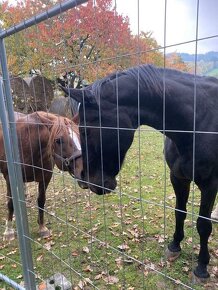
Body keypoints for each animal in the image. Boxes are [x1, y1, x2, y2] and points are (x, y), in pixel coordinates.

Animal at [0, 111, 82, 240]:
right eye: (58, 140)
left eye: (79, 135)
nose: (84, 171)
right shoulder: (9, 178)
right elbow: (11, 202)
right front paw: (8, 231)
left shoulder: (45, 178)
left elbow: (41, 201)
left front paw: (42, 228)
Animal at [59, 64, 218, 280]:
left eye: (84, 130)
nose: (86, 180)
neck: (197, 124)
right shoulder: (178, 178)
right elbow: (179, 212)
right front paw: (174, 246)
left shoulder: (210, 185)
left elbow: (203, 225)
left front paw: (202, 267)